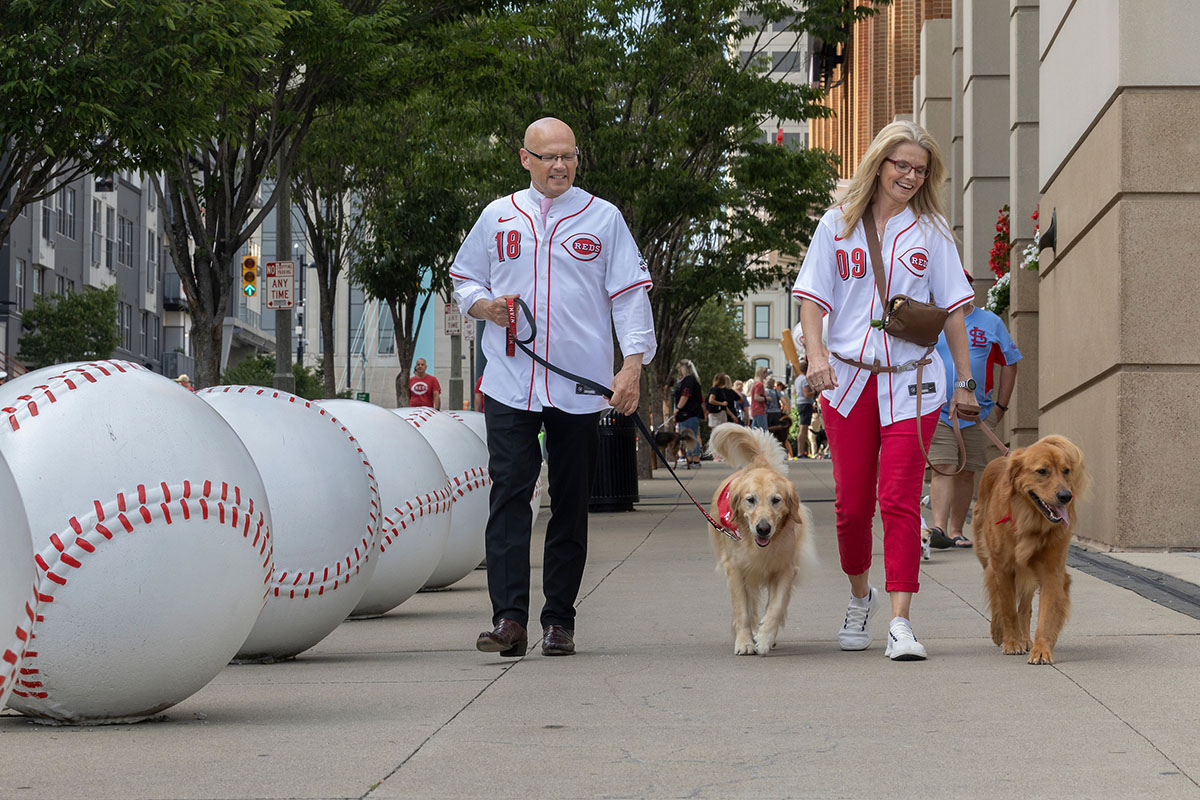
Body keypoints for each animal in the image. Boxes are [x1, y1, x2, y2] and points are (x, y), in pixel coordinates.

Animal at [705, 424, 820, 657]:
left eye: (776, 500)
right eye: (750, 500)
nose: (763, 529)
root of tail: (758, 464)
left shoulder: (786, 570)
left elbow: (775, 609)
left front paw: (765, 638)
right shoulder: (736, 570)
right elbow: (742, 611)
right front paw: (744, 642)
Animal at [974, 434, 1089, 666]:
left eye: (1066, 470)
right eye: (1042, 471)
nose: (1066, 496)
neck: (1029, 520)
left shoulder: (1051, 572)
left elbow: (1045, 615)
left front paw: (1041, 650)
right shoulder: (1003, 568)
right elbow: (1007, 607)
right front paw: (1011, 642)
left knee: (1025, 607)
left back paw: (1025, 638)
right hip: (987, 559)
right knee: (995, 594)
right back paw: (999, 632)